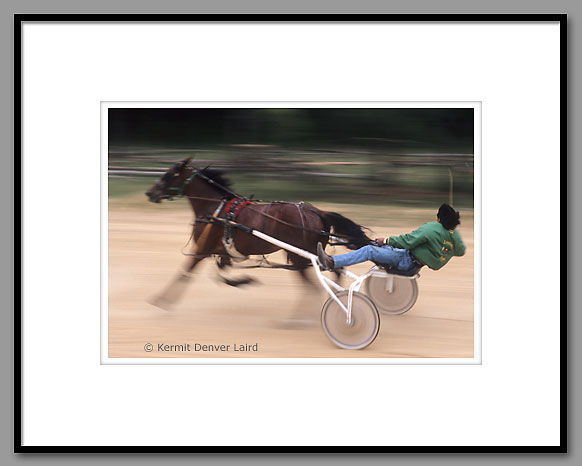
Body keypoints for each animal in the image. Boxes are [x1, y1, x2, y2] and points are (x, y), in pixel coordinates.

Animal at [147, 157, 374, 314]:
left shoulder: (202, 249)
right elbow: (221, 274)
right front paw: (243, 281)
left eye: (169, 174)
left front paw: (161, 300)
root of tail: (318, 212)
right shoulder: (220, 250)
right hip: (306, 255)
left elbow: (185, 272)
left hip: (299, 256)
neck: (215, 210)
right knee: (335, 271)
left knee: (316, 284)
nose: (150, 193)